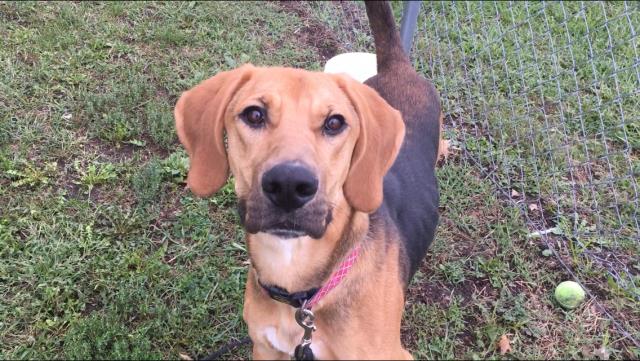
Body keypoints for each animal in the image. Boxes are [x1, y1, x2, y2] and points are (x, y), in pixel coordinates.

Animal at [175, 2, 442, 358]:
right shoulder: (265, 348)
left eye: (334, 122)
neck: (301, 294)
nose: (289, 185)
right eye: (254, 114)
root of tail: (397, 67)